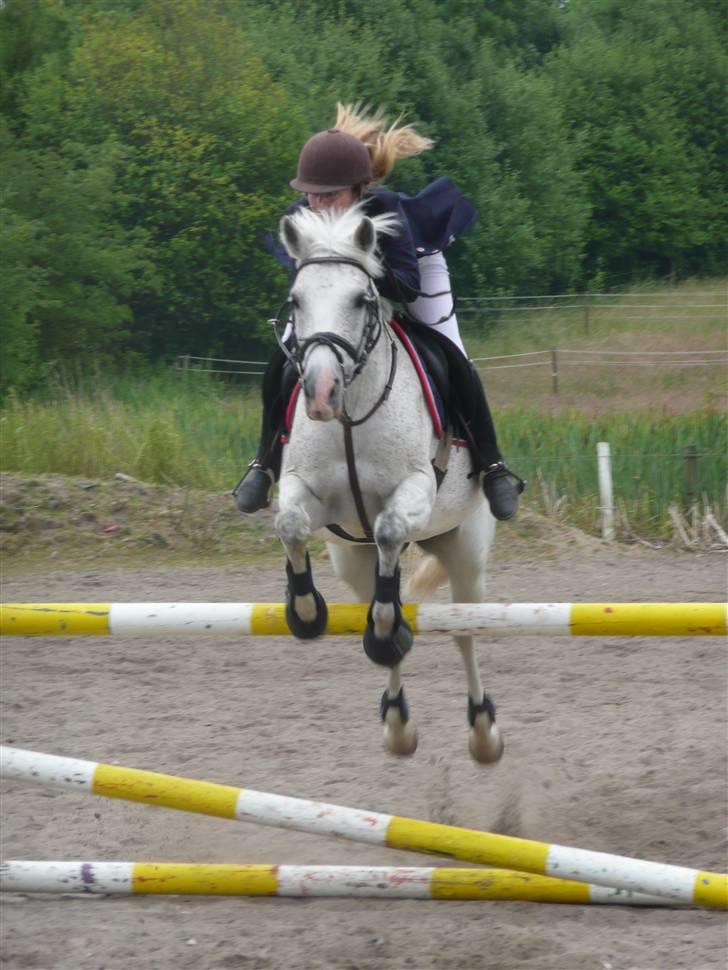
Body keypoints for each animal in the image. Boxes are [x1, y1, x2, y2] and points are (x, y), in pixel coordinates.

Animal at [274, 204, 506, 764]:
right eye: (296, 300)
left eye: (361, 300)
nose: (320, 394)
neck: (350, 416)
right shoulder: (312, 497)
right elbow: (290, 524)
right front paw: (304, 611)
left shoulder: (415, 491)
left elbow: (388, 528)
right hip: (352, 560)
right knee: (378, 604)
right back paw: (397, 722)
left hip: (466, 549)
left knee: (463, 632)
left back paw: (483, 729)